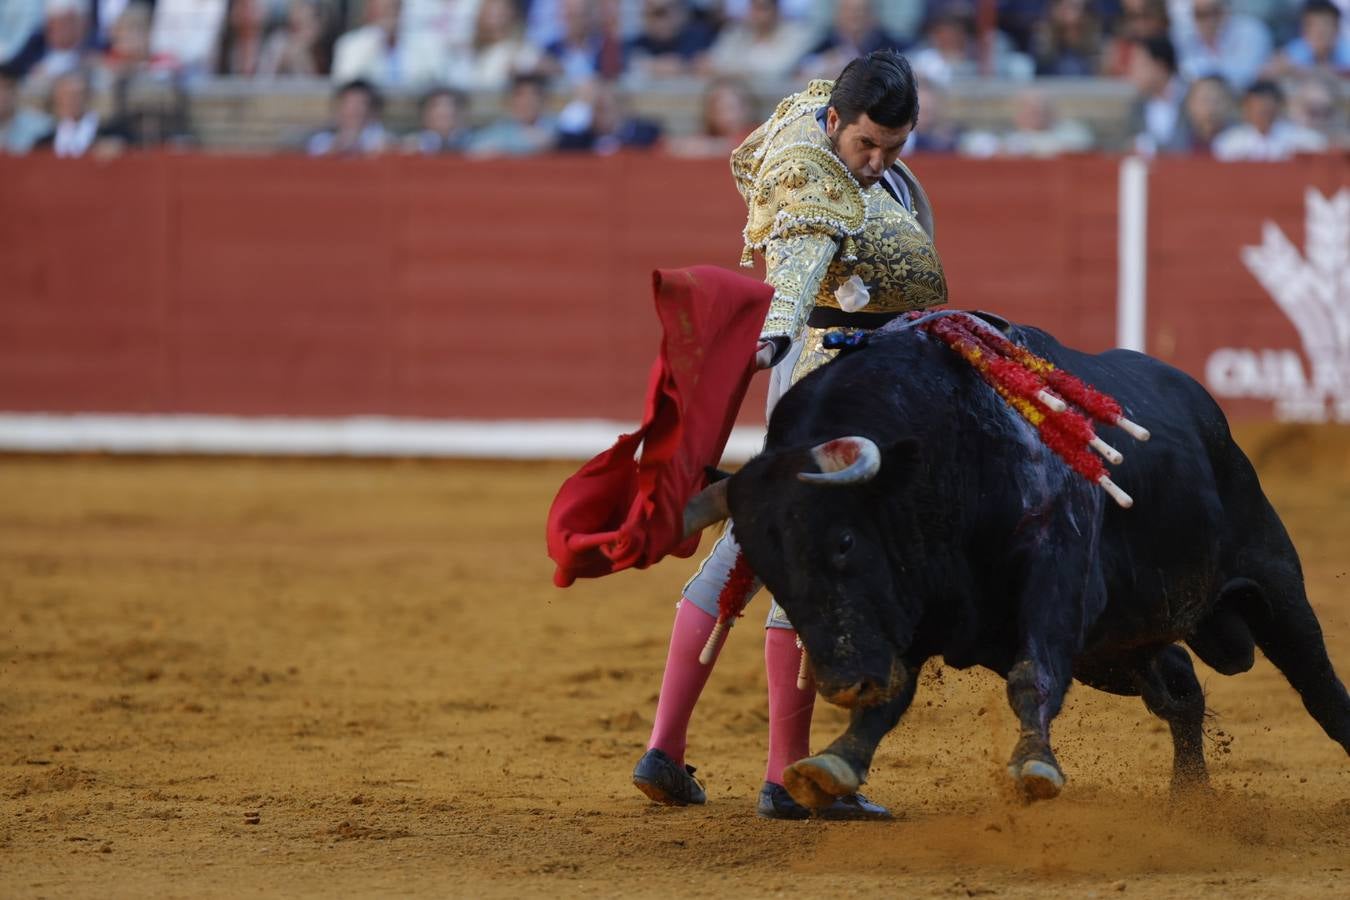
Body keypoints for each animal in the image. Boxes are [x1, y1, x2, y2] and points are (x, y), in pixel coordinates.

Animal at [685, 318, 1350, 809]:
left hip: (1273, 585)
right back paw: (1189, 798)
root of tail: (1209, 415)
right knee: (1181, 691)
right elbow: (895, 695)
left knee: (1319, 686)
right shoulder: (913, 608)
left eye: (844, 541)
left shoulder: (1056, 583)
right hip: (1114, 650)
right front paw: (834, 763)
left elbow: (1032, 675)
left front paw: (1034, 767)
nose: (844, 683)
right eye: (765, 569)